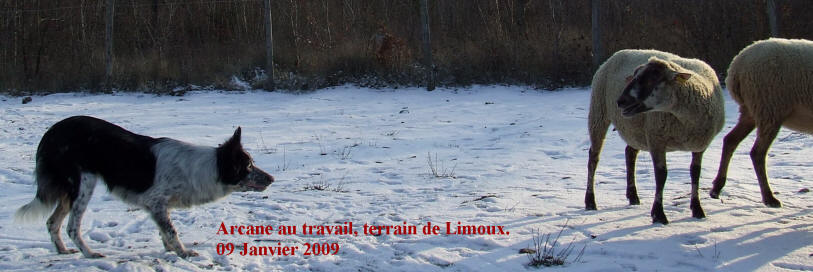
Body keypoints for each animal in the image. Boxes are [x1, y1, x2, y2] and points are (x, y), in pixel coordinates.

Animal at [584, 49, 724, 225]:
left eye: (653, 79)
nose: (620, 101)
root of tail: (617, 54)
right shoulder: (656, 140)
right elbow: (661, 175)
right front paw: (658, 214)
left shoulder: (700, 145)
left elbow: (695, 172)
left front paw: (697, 209)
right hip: (599, 112)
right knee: (593, 158)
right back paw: (590, 201)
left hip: (635, 129)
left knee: (630, 153)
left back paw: (633, 196)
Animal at [708, 36, 812, 206]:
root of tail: (737, 66)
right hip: (769, 108)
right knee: (757, 153)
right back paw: (769, 197)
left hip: (751, 110)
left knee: (730, 140)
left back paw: (717, 188)